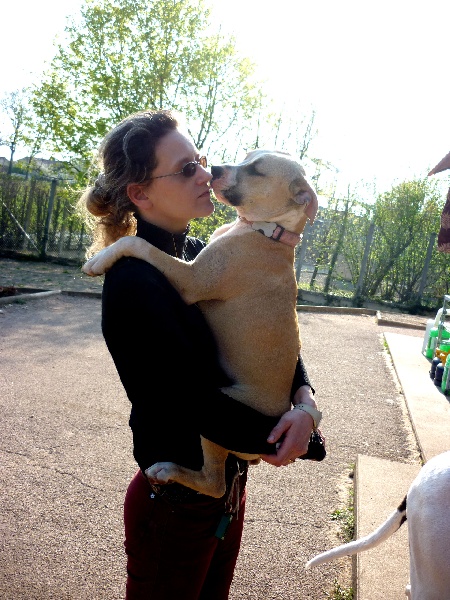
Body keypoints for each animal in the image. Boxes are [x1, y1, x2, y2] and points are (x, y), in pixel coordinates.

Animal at [82, 150, 318, 496]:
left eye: (257, 170)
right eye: (248, 156)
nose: (215, 169)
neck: (267, 231)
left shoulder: (191, 279)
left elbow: (138, 244)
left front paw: (100, 258)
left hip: (217, 418)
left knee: (214, 483)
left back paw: (168, 470)